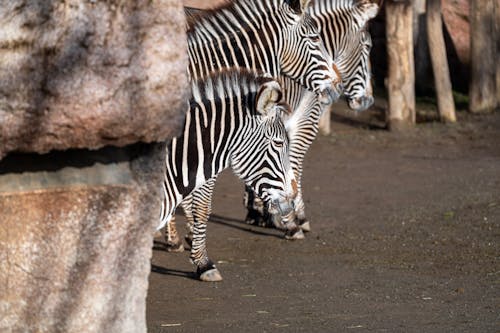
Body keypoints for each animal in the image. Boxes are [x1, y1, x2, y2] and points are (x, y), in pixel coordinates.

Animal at [244, 0, 380, 235]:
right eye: (368, 47)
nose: (368, 101)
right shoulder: (306, 120)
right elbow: (293, 165)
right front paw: (293, 218)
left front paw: (259, 212)